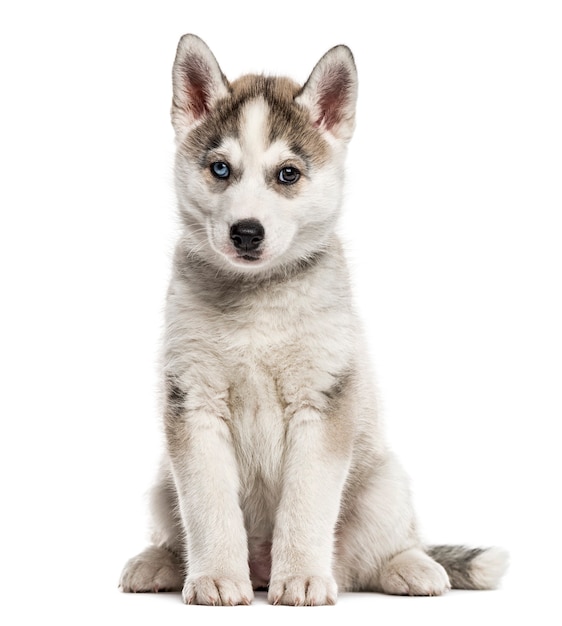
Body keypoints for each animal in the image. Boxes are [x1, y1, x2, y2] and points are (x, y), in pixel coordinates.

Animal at [119, 35, 508, 604]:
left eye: (288, 174)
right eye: (220, 169)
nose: (246, 232)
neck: (256, 301)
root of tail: (261, 565)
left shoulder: (323, 401)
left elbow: (306, 502)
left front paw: (302, 576)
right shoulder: (194, 401)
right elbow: (209, 507)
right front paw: (215, 577)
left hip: (383, 483)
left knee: (378, 553)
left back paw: (412, 567)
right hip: (158, 486)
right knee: (176, 529)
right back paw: (160, 563)